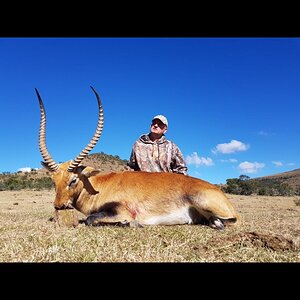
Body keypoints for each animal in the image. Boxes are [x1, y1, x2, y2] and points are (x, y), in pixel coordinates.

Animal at [36, 86, 240, 230]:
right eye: (53, 181)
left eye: (73, 180)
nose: (59, 206)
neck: (98, 185)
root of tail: (219, 192)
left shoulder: (120, 210)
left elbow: (90, 219)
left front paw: (130, 223)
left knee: (231, 220)